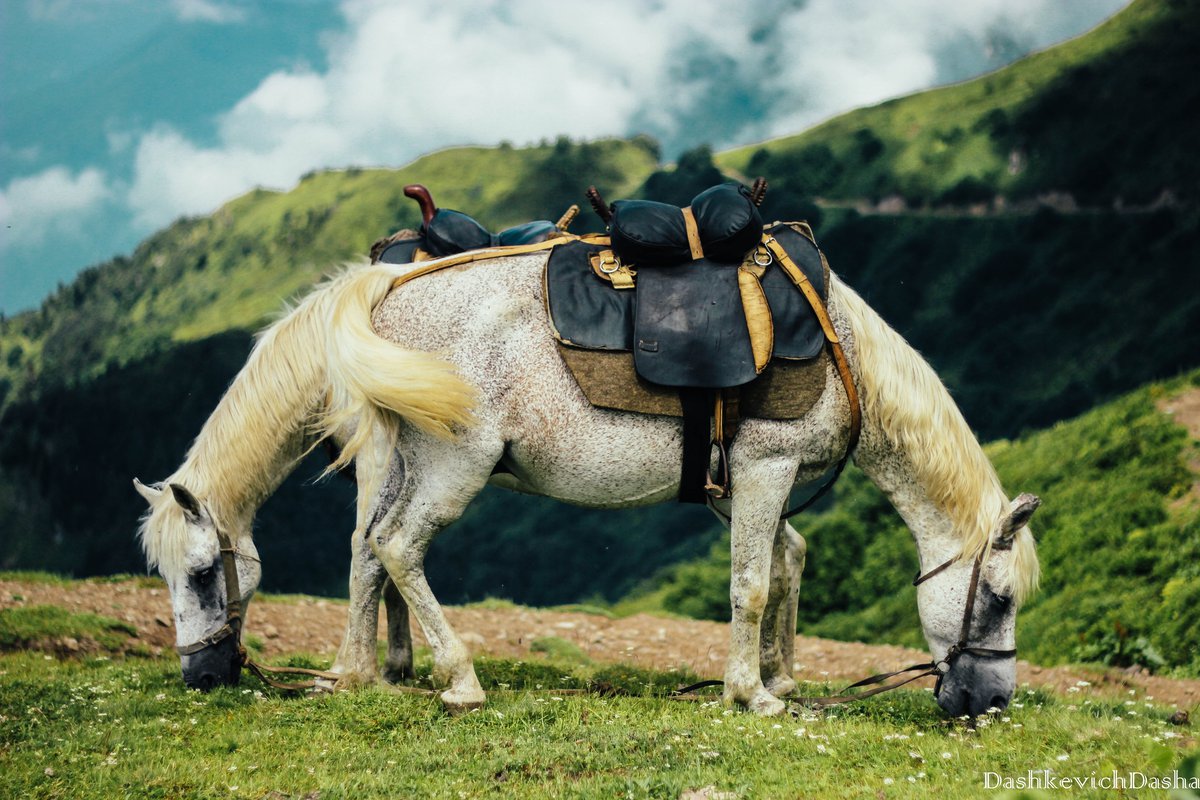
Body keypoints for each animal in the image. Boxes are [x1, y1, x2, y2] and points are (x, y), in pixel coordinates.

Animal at [133, 247, 1041, 714]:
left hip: (413, 460)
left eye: (201, 573)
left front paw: (779, 675)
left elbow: (786, 559)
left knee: (372, 547)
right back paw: (456, 680)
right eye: (998, 597)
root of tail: (387, 292)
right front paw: (753, 693)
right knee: (392, 546)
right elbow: (751, 583)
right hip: (451, 465)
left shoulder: (744, 485)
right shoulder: (764, 469)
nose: (989, 700)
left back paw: (377, 671)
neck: (838, 345)